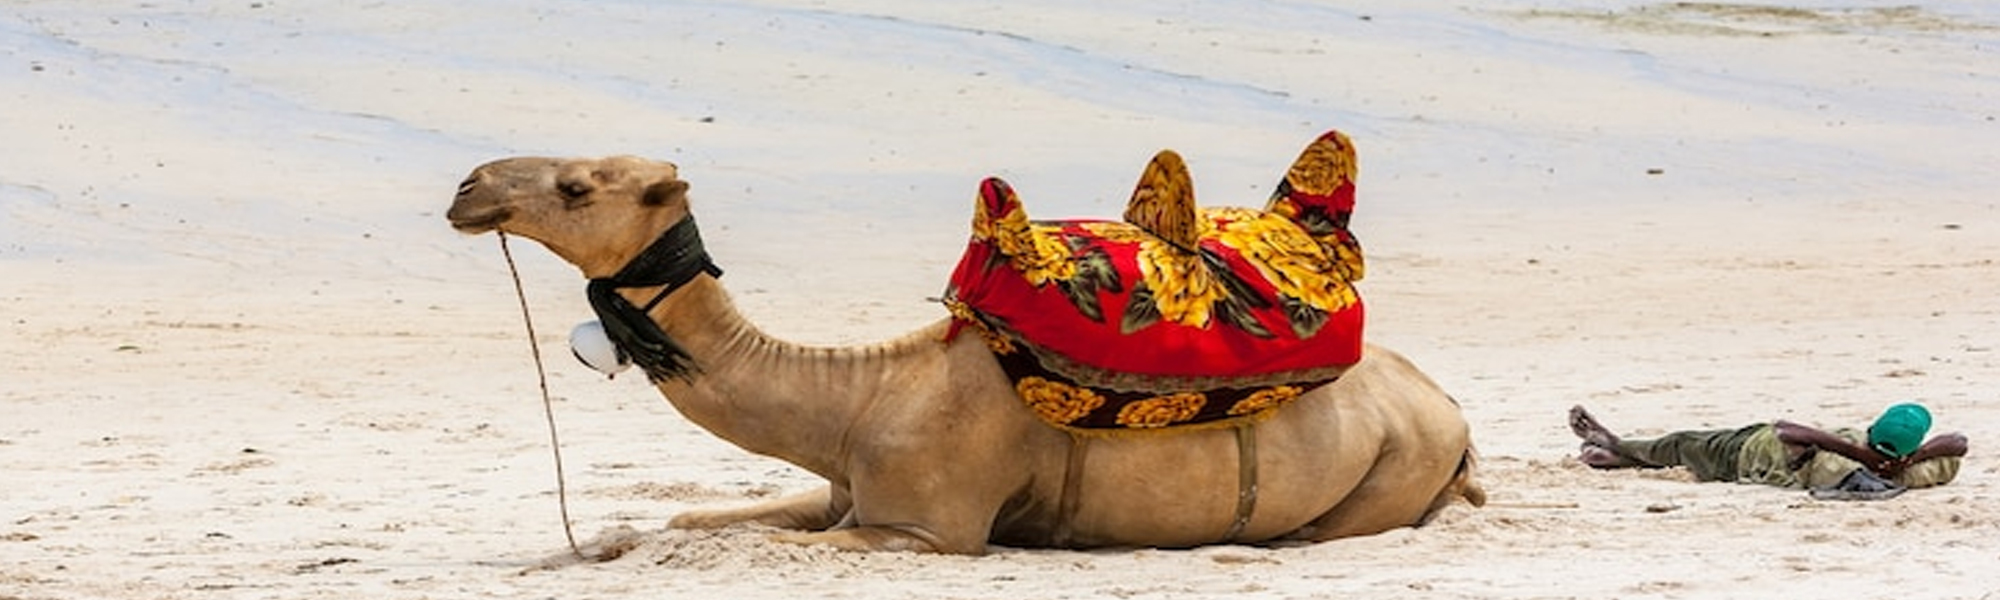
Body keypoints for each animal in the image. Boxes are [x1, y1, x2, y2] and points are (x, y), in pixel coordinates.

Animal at [445, 135, 1484, 554]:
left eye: (577, 187)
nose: (468, 186)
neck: (858, 396)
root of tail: (1453, 414)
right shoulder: (843, 492)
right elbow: (686, 525)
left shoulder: (926, 526)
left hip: (1393, 469)